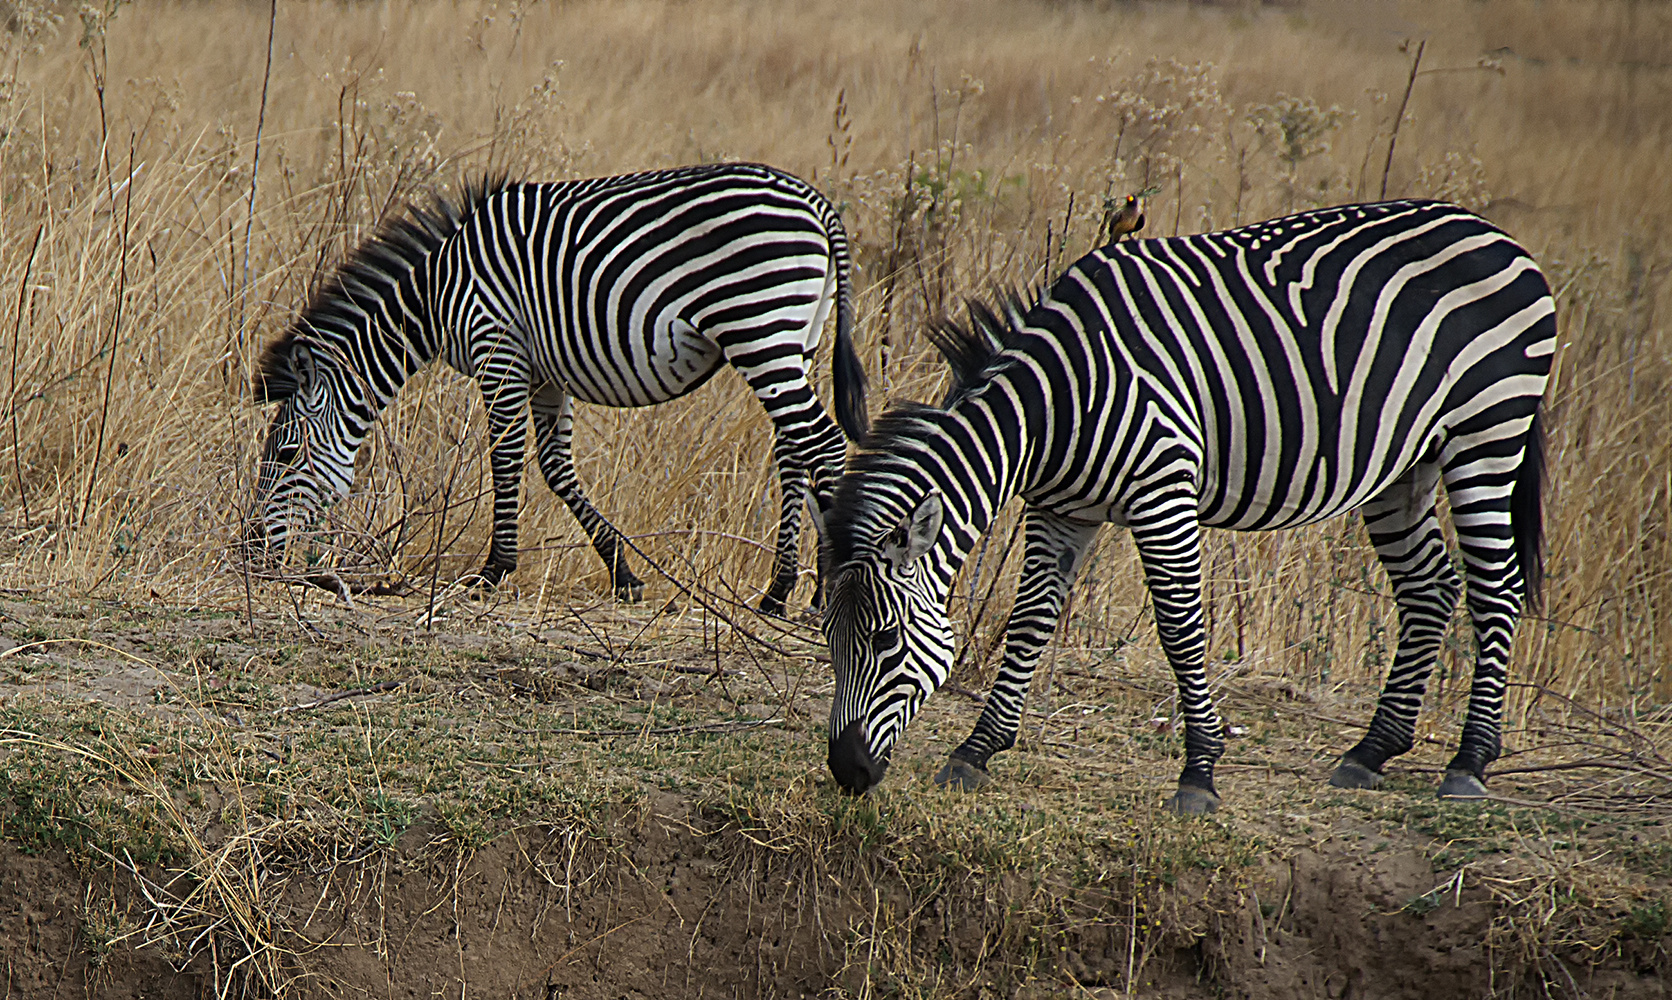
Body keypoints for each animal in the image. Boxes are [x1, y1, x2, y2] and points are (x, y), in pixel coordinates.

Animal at [255, 166, 876, 612]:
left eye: (284, 454)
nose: (254, 552)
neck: (434, 297)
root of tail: (817, 203)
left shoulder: (497, 346)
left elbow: (506, 458)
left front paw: (492, 572)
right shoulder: (544, 372)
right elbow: (556, 470)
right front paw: (623, 573)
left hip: (758, 325)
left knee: (822, 444)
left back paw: (832, 592)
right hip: (795, 338)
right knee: (794, 450)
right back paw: (781, 593)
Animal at [822, 198, 1551, 816]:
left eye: (886, 640)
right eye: (829, 636)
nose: (847, 773)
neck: (1056, 405)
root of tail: (1492, 230)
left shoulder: (1162, 492)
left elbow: (1179, 628)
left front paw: (1199, 772)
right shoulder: (1061, 511)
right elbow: (1029, 621)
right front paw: (976, 751)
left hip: (1488, 430)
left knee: (1496, 588)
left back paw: (1469, 762)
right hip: (1407, 462)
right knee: (1429, 587)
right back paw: (1371, 751)